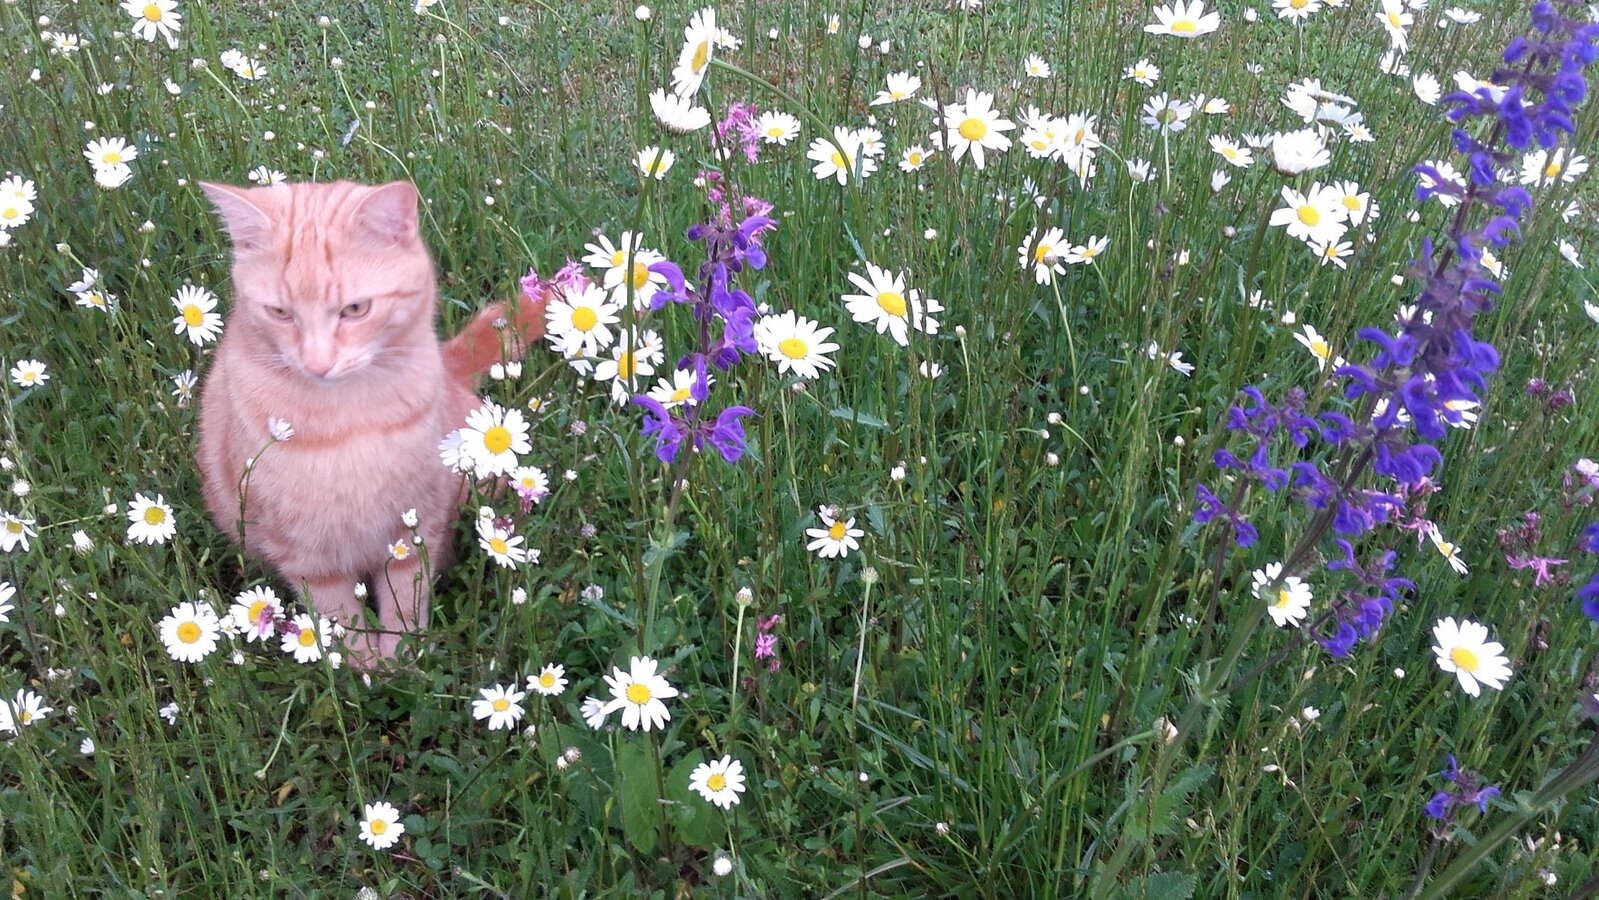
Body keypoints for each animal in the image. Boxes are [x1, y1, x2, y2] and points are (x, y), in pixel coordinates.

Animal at [196, 180, 546, 661]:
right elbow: (337, 614)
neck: (349, 421)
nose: (318, 363)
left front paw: (402, 658)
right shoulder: (303, 553)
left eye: (356, 309)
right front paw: (365, 664)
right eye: (280, 313)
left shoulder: (416, 523)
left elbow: (406, 598)